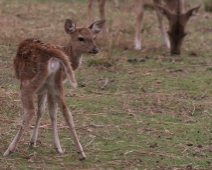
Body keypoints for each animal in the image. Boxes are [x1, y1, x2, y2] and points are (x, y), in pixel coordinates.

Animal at [3, 19, 106, 160]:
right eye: (81, 38)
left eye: (94, 38)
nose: (95, 49)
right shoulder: (46, 88)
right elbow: (45, 111)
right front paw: (37, 143)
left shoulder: (43, 89)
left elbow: (44, 111)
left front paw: (34, 142)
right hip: (54, 84)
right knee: (66, 111)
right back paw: (81, 153)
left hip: (28, 81)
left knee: (30, 110)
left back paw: (9, 150)